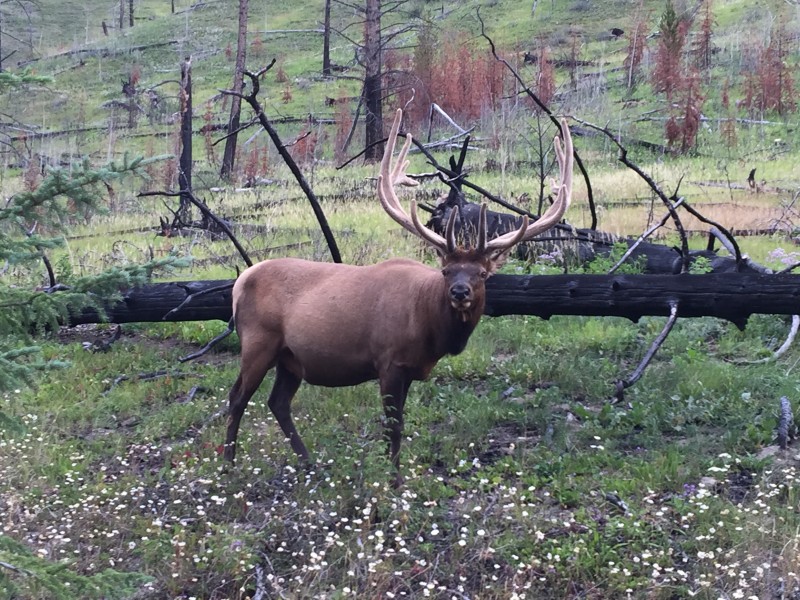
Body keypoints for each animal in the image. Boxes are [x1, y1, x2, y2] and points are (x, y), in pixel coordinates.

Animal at [223, 108, 573, 487]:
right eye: (446, 270)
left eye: (482, 274)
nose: (460, 292)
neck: (430, 328)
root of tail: (239, 283)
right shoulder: (388, 360)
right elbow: (394, 425)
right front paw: (393, 481)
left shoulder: (407, 369)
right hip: (258, 341)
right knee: (237, 397)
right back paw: (228, 465)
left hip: (291, 357)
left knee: (278, 402)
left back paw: (308, 462)